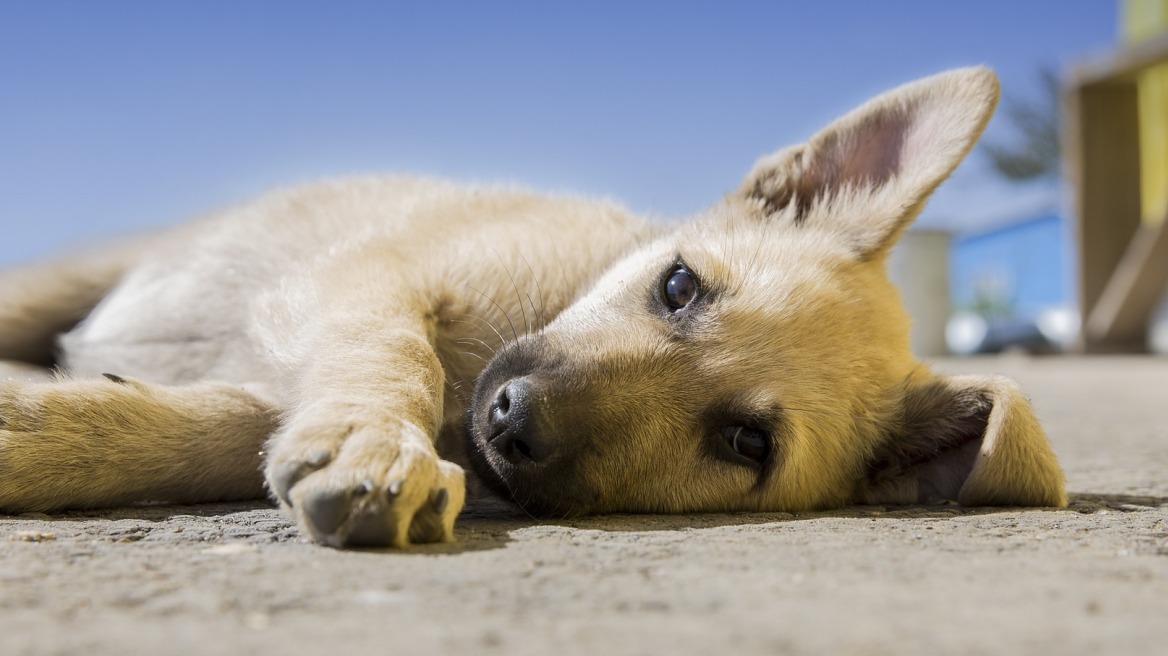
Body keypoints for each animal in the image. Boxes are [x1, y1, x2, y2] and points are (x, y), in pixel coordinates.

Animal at [0, 67, 1069, 546]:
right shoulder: (365, 275)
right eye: (679, 286)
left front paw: (44, 432)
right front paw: (376, 442)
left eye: (745, 444)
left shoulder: (287, 379)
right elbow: (393, 350)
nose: (512, 422)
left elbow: (191, 427)